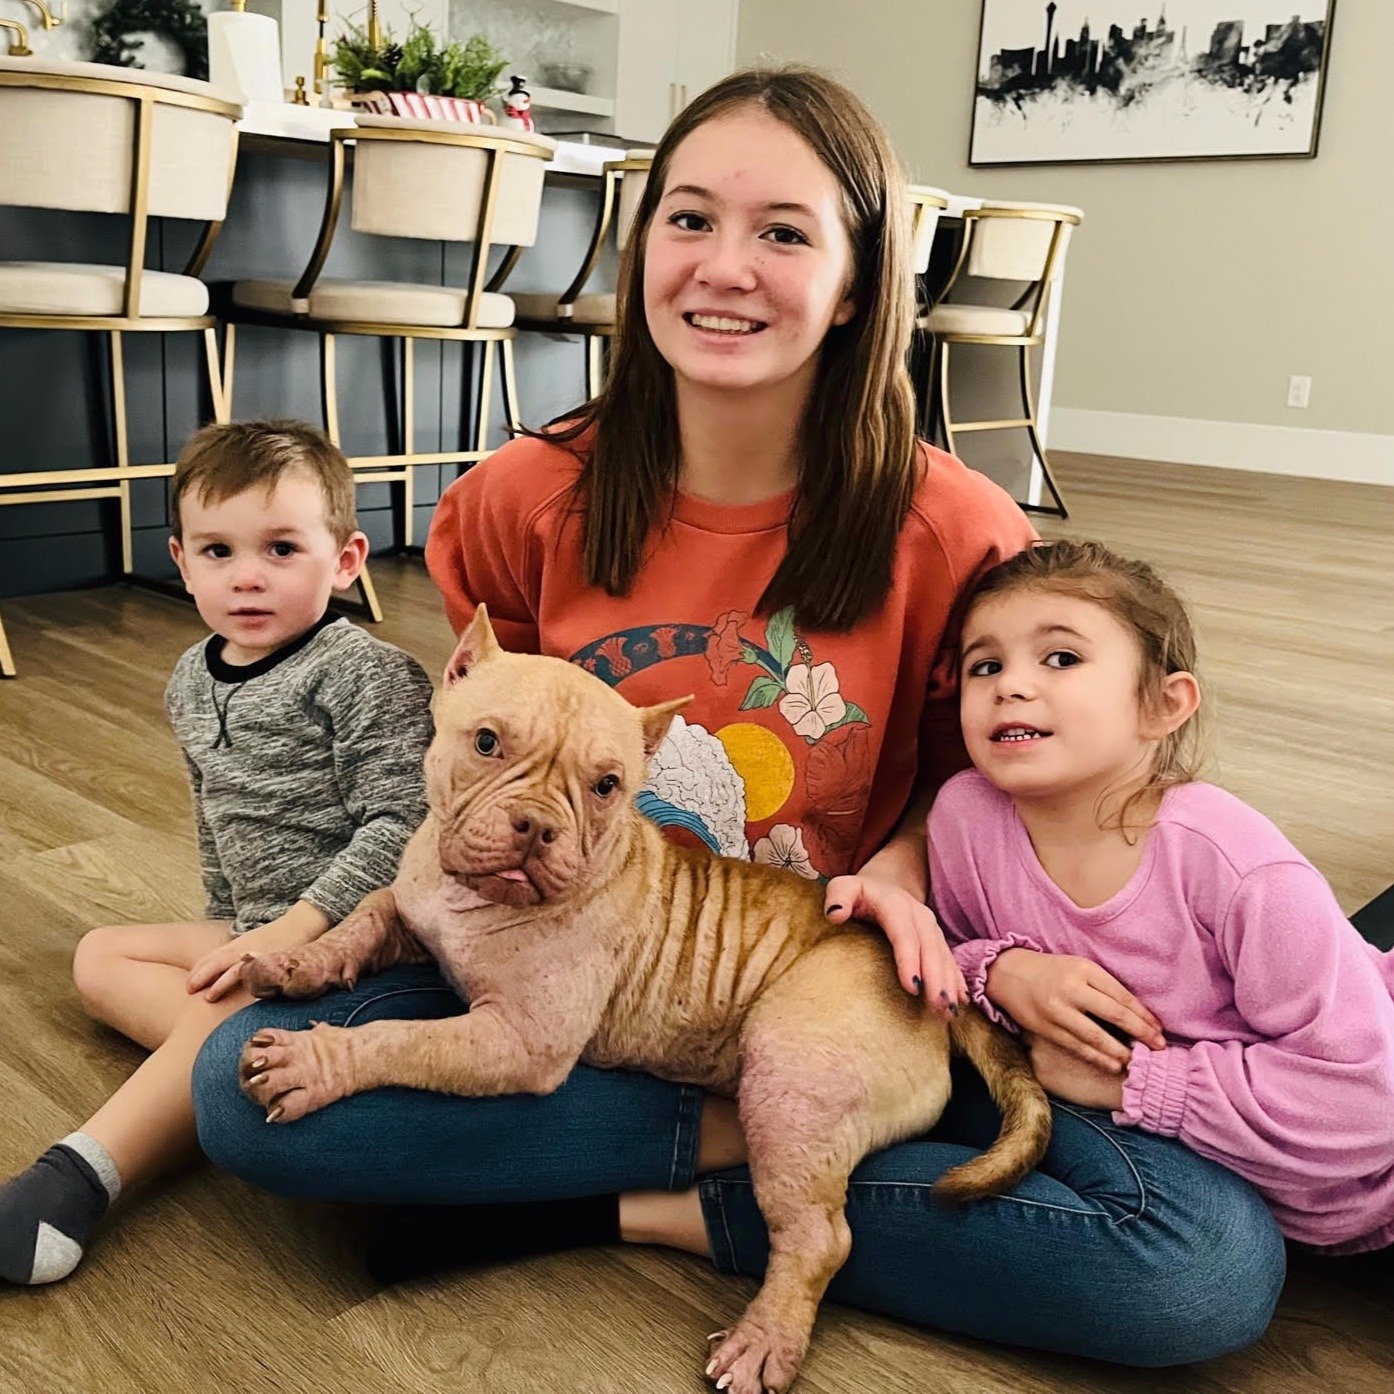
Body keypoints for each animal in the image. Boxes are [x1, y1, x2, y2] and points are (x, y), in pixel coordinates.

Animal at [236, 616, 1048, 1394]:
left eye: (606, 785)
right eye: (487, 743)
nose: (536, 826)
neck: (473, 901)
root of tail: (933, 995)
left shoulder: (515, 1040)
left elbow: (398, 1037)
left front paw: (315, 1058)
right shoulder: (411, 910)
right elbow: (364, 919)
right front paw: (296, 960)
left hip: (794, 1066)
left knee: (821, 1235)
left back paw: (765, 1339)